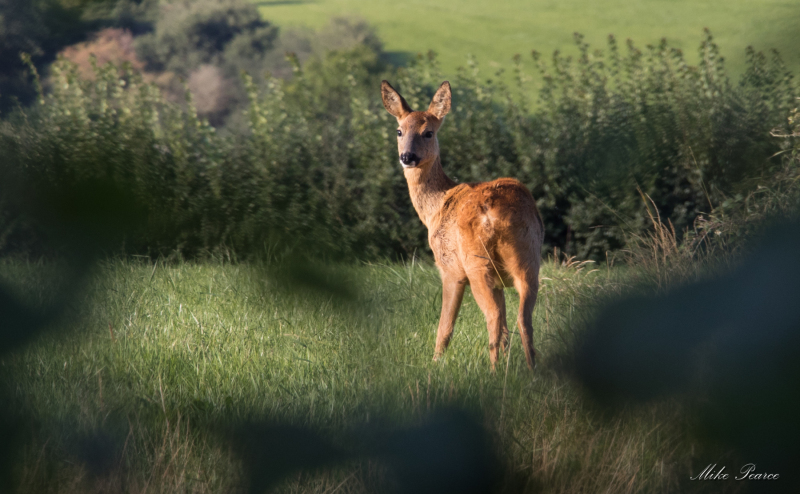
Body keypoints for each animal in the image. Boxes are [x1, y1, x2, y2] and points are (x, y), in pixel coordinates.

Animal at [381, 80, 544, 370]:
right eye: (399, 131)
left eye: (428, 132)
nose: (407, 157)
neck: (435, 207)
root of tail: (497, 213)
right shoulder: (501, 280)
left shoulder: (449, 268)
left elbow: (444, 326)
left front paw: (434, 364)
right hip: (529, 258)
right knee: (522, 319)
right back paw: (530, 370)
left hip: (476, 262)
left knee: (493, 317)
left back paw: (493, 372)